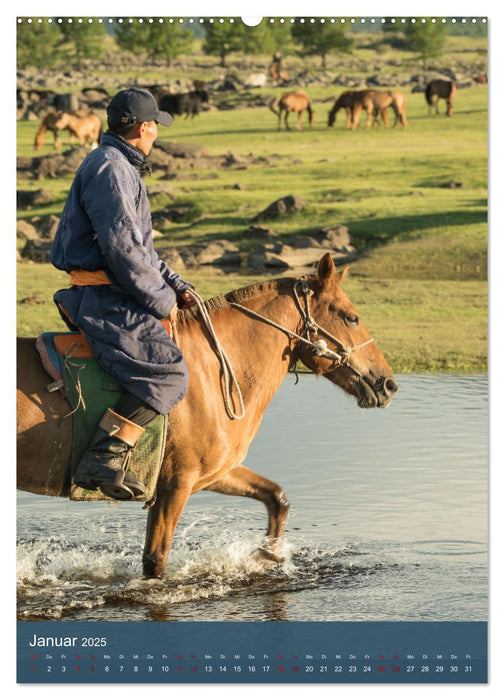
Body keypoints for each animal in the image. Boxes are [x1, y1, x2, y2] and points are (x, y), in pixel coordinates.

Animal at [16, 258, 398, 580]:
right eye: (351, 317)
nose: (388, 384)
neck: (214, 371)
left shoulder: (215, 473)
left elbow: (277, 496)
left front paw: (268, 555)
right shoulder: (176, 486)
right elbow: (155, 561)